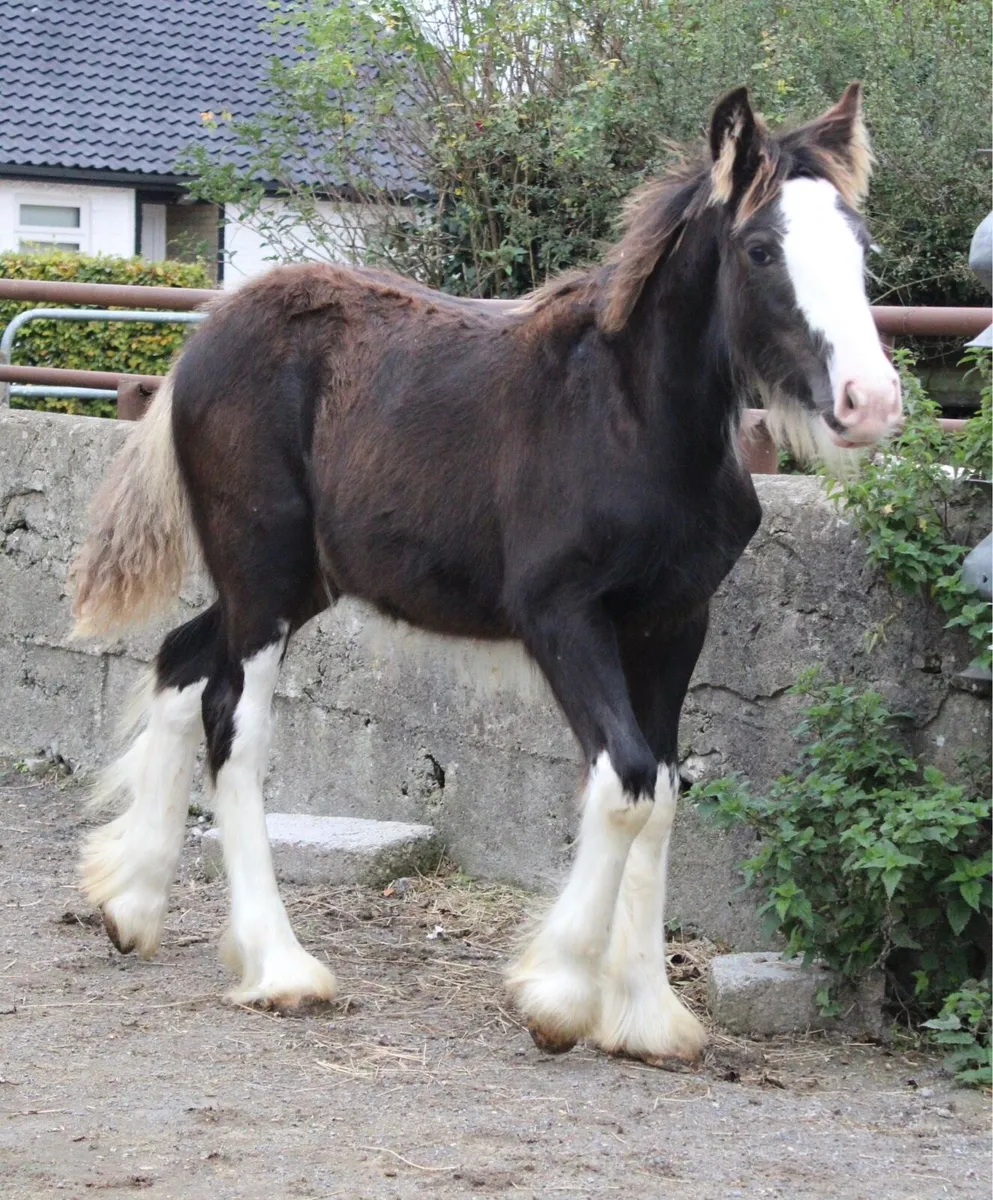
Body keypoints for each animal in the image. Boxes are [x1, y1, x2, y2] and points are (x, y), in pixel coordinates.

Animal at [70, 84, 901, 1068]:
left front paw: (647, 1015)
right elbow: (624, 781)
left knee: (177, 661)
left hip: (291, 583)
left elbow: (660, 793)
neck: (631, 421)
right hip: (263, 573)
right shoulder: (560, 615)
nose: (871, 402)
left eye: (858, 243)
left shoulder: (674, 621)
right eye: (760, 248)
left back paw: (131, 904)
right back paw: (280, 967)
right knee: (234, 725)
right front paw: (559, 995)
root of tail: (202, 340)